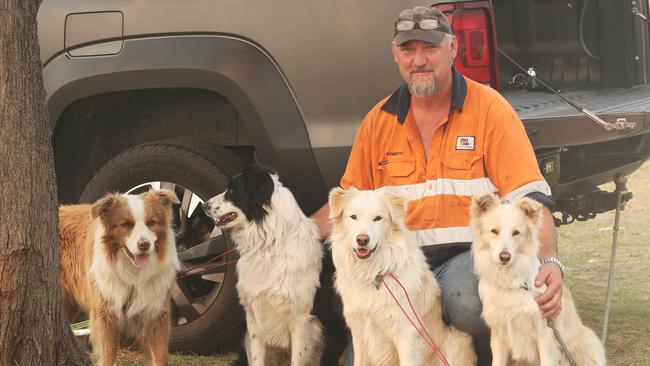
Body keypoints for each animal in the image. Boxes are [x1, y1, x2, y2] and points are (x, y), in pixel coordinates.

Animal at [58, 189, 180, 366]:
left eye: (152, 222)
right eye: (126, 224)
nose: (144, 245)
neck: (134, 275)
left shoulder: (156, 313)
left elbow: (160, 357)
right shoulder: (106, 313)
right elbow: (108, 355)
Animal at [326, 189, 474, 366]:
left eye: (378, 218)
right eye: (353, 217)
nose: (362, 240)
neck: (373, 272)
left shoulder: (406, 334)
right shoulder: (359, 332)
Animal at [468, 193, 604, 364]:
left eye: (516, 232)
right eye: (494, 231)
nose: (504, 257)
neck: (511, 281)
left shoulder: (545, 334)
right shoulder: (498, 336)